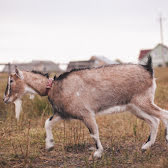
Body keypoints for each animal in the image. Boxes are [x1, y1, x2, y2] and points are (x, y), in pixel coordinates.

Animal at [2, 57, 168, 158]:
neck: (54, 87)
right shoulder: (63, 113)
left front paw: (98, 153)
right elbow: (47, 123)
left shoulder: (86, 113)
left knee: (163, 114)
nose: (5, 99)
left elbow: (94, 133)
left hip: (143, 101)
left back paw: (164, 139)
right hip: (135, 107)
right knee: (154, 121)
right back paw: (145, 146)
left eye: (11, 81)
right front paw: (49, 145)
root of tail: (148, 69)